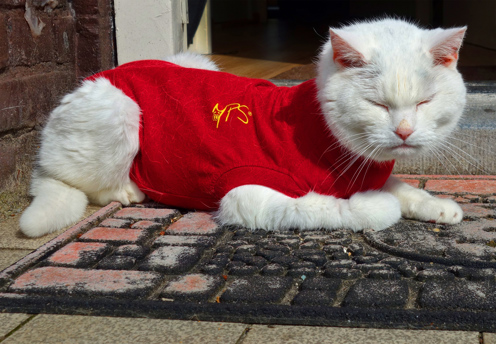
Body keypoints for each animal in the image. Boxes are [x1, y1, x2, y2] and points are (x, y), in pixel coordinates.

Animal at [20, 18, 468, 238]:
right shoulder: (248, 195)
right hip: (119, 110)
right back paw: (129, 189)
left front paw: (436, 205)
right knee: (83, 184)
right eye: (378, 105)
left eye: (424, 102)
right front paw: (376, 206)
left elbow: (404, 188)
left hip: (194, 60)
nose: (405, 131)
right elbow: (326, 207)